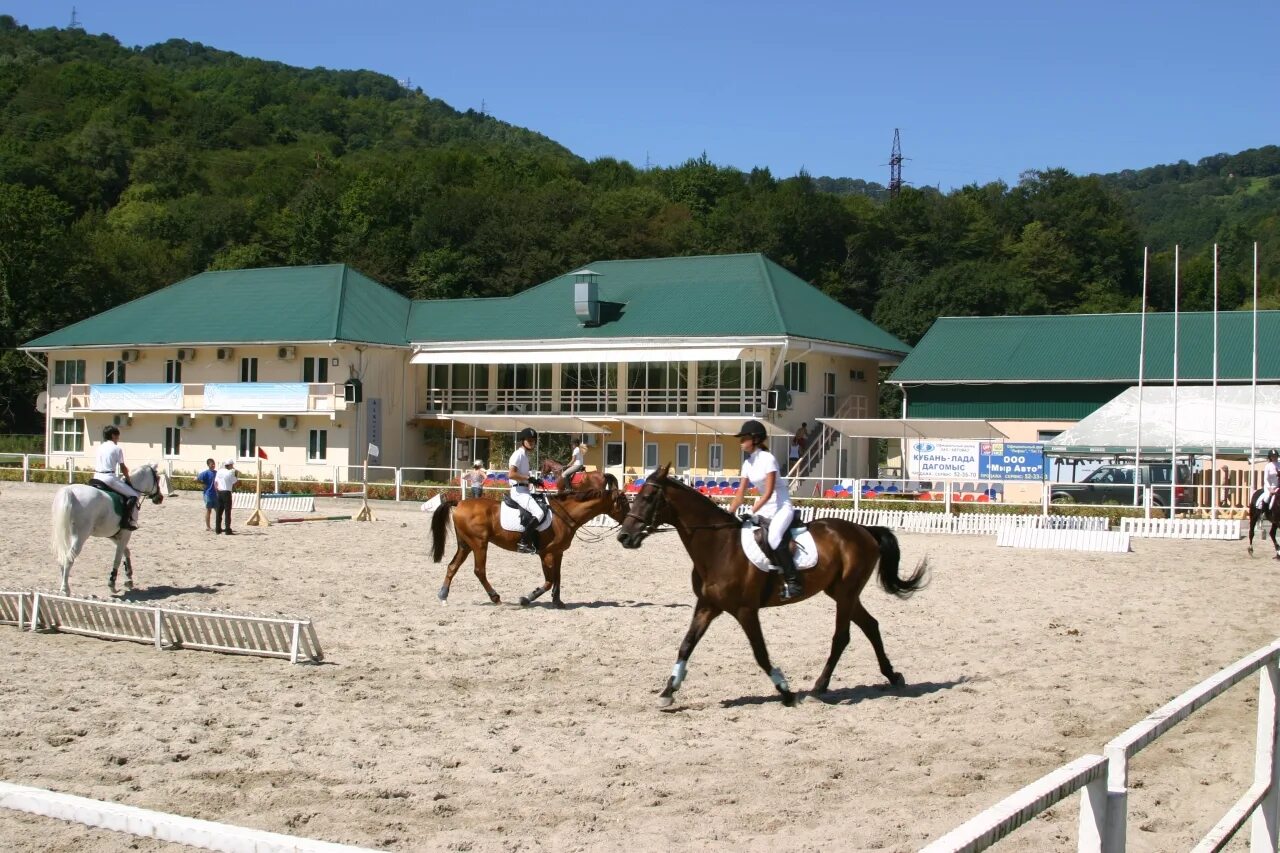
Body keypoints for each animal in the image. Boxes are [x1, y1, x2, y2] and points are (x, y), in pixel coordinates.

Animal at [430, 471, 629, 604]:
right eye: (624, 502)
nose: (629, 523)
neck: (564, 514)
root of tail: (459, 502)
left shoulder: (558, 553)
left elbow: (558, 577)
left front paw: (557, 602)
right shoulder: (546, 553)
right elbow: (549, 581)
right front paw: (527, 597)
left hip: (465, 544)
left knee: (452, 566)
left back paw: (443, 595)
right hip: (479, 544)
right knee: (479, 571)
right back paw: (495, 597)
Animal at [614, 466, 926, 701]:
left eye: (648, 497)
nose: (624, 537)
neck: (718, 547)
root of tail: (864, 530)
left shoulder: (745, 611)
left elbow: (761, 654)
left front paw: (785, 690)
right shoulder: (707, 605)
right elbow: (686, 645)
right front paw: (669, 690)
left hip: (846, 593)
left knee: (842, 637)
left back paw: (819, 686)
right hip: (840, 592)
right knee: (870, 626)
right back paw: (892, 676)